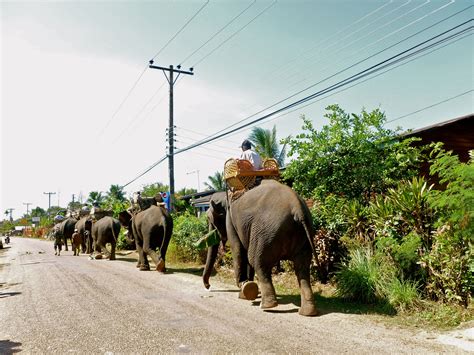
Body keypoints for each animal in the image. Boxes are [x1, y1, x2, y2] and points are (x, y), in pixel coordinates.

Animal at [205, 181, 318, 318]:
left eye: (210, 220)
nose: (208, 286)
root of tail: (298, 209)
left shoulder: (230, 221)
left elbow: (238, 251)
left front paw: (245, 288)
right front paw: (247, 289)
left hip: (266, 233)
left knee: (257, 261)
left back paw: (266, 306)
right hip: (303, 235)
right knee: (302, 267)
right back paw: (307, 312)